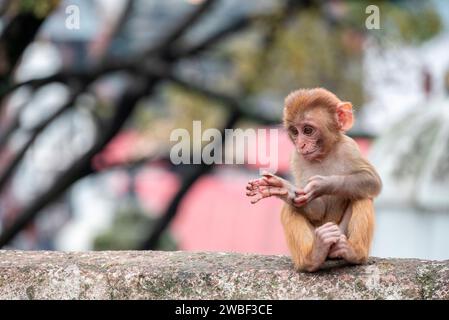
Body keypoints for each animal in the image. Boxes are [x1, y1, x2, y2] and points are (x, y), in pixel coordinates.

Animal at [247, 88, 380, 272]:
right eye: (295, 132)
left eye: (308, 130)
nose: (300, 144)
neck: (323, 155)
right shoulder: (297, 158)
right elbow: (312, 207)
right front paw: (286, 189)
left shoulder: (349, 147)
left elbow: (371, 180)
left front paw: (322, 184)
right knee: (291, 208)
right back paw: (314, 256)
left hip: (340, 234)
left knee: (362, 197)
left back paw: (354, 253)